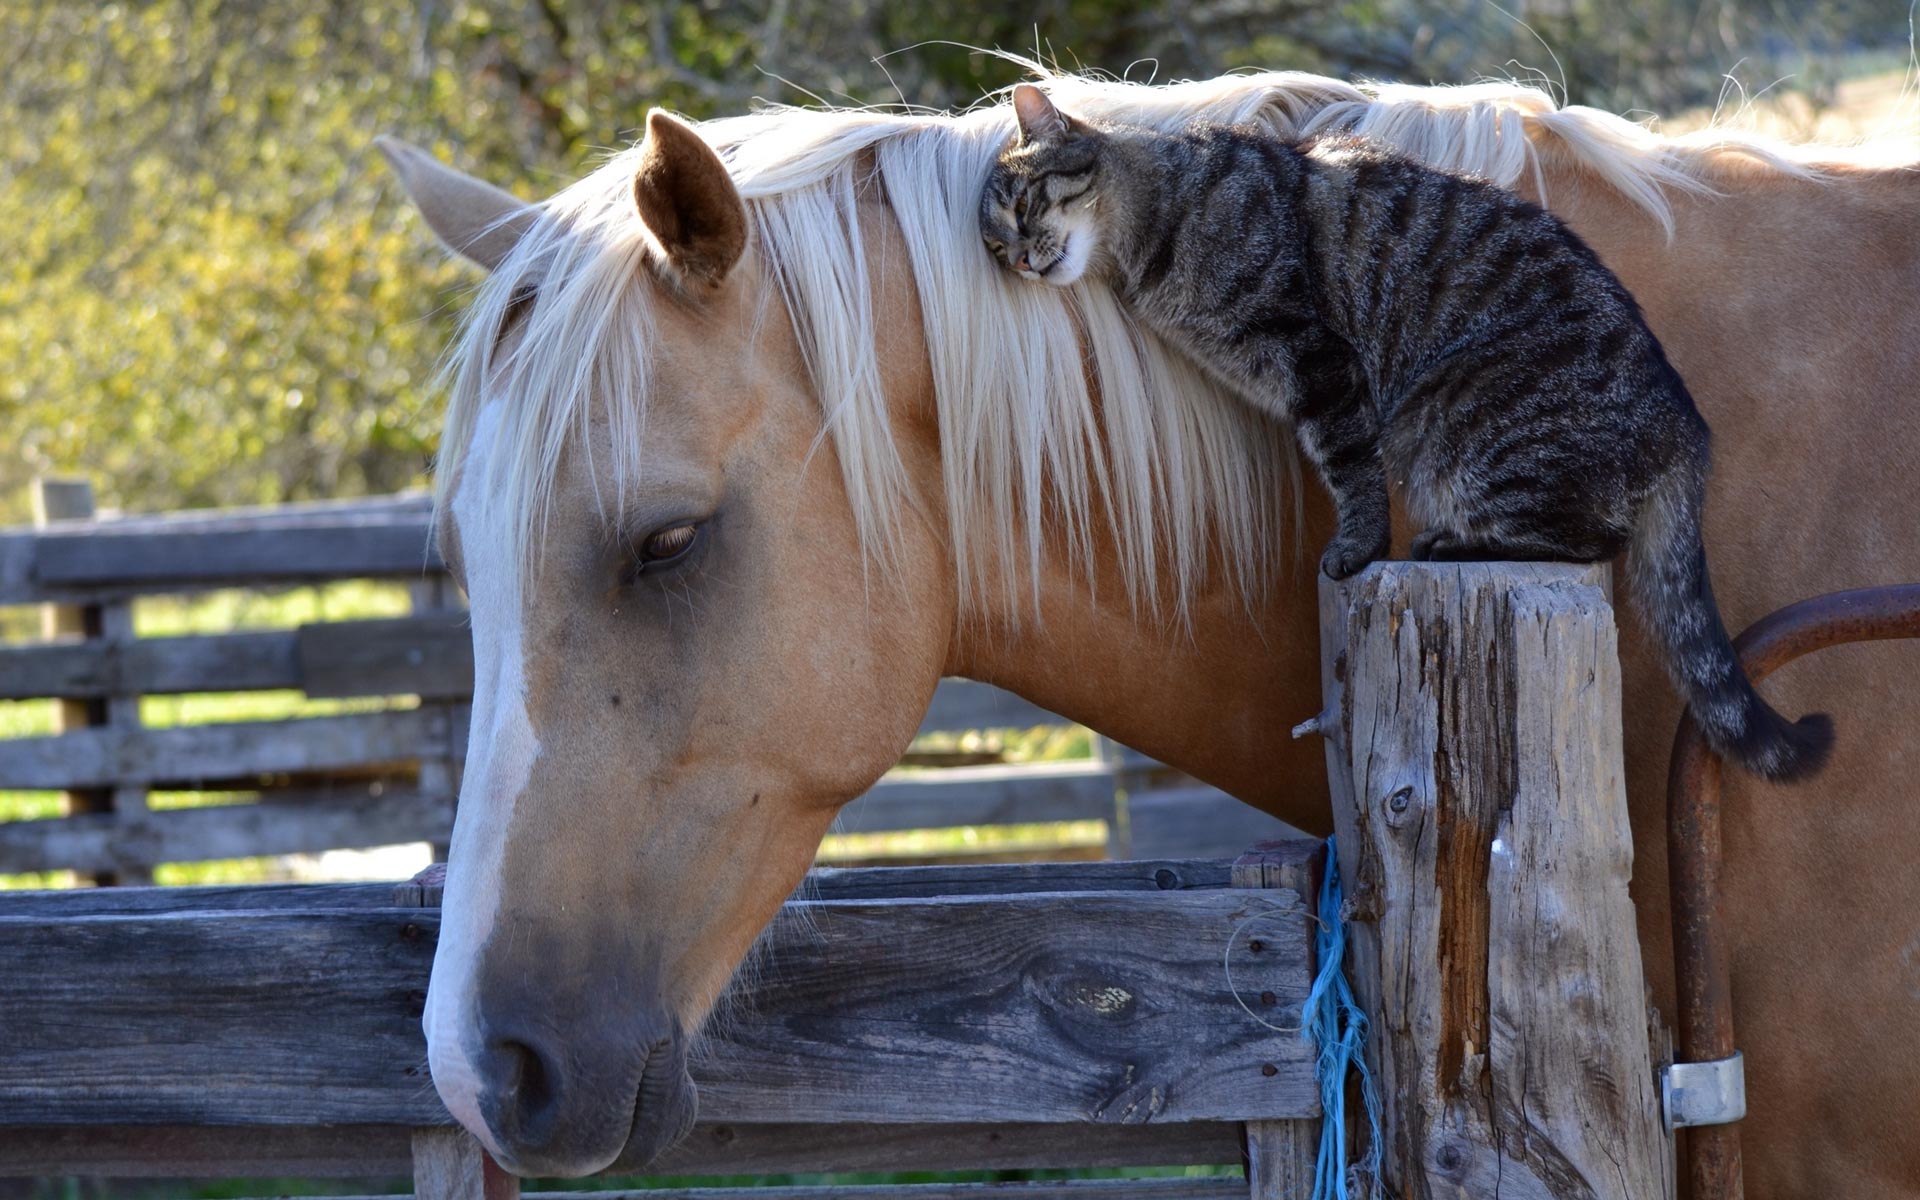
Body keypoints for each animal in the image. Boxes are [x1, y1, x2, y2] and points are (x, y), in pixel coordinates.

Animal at [983, 82, 1835, 775]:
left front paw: (1356, 549)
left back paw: (1450, 543)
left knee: (1590, 538)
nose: (1018, 260)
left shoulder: (1321, 363)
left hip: (1457, 422)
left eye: (1024, 207)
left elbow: (1351, 470)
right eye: (994, 244)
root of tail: (1686, 425)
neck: (1155, 227)